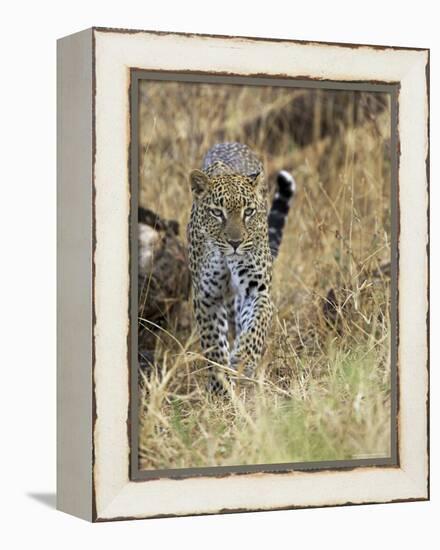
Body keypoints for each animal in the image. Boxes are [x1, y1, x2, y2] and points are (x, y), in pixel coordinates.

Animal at [186, 142, 296, 392]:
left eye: (249, 212)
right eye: (217, 213)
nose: (235, 243)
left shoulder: (257, 290)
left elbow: (255, 326)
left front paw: (242, 360)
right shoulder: (207, 296)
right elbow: (214, 344)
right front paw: (221, 386)